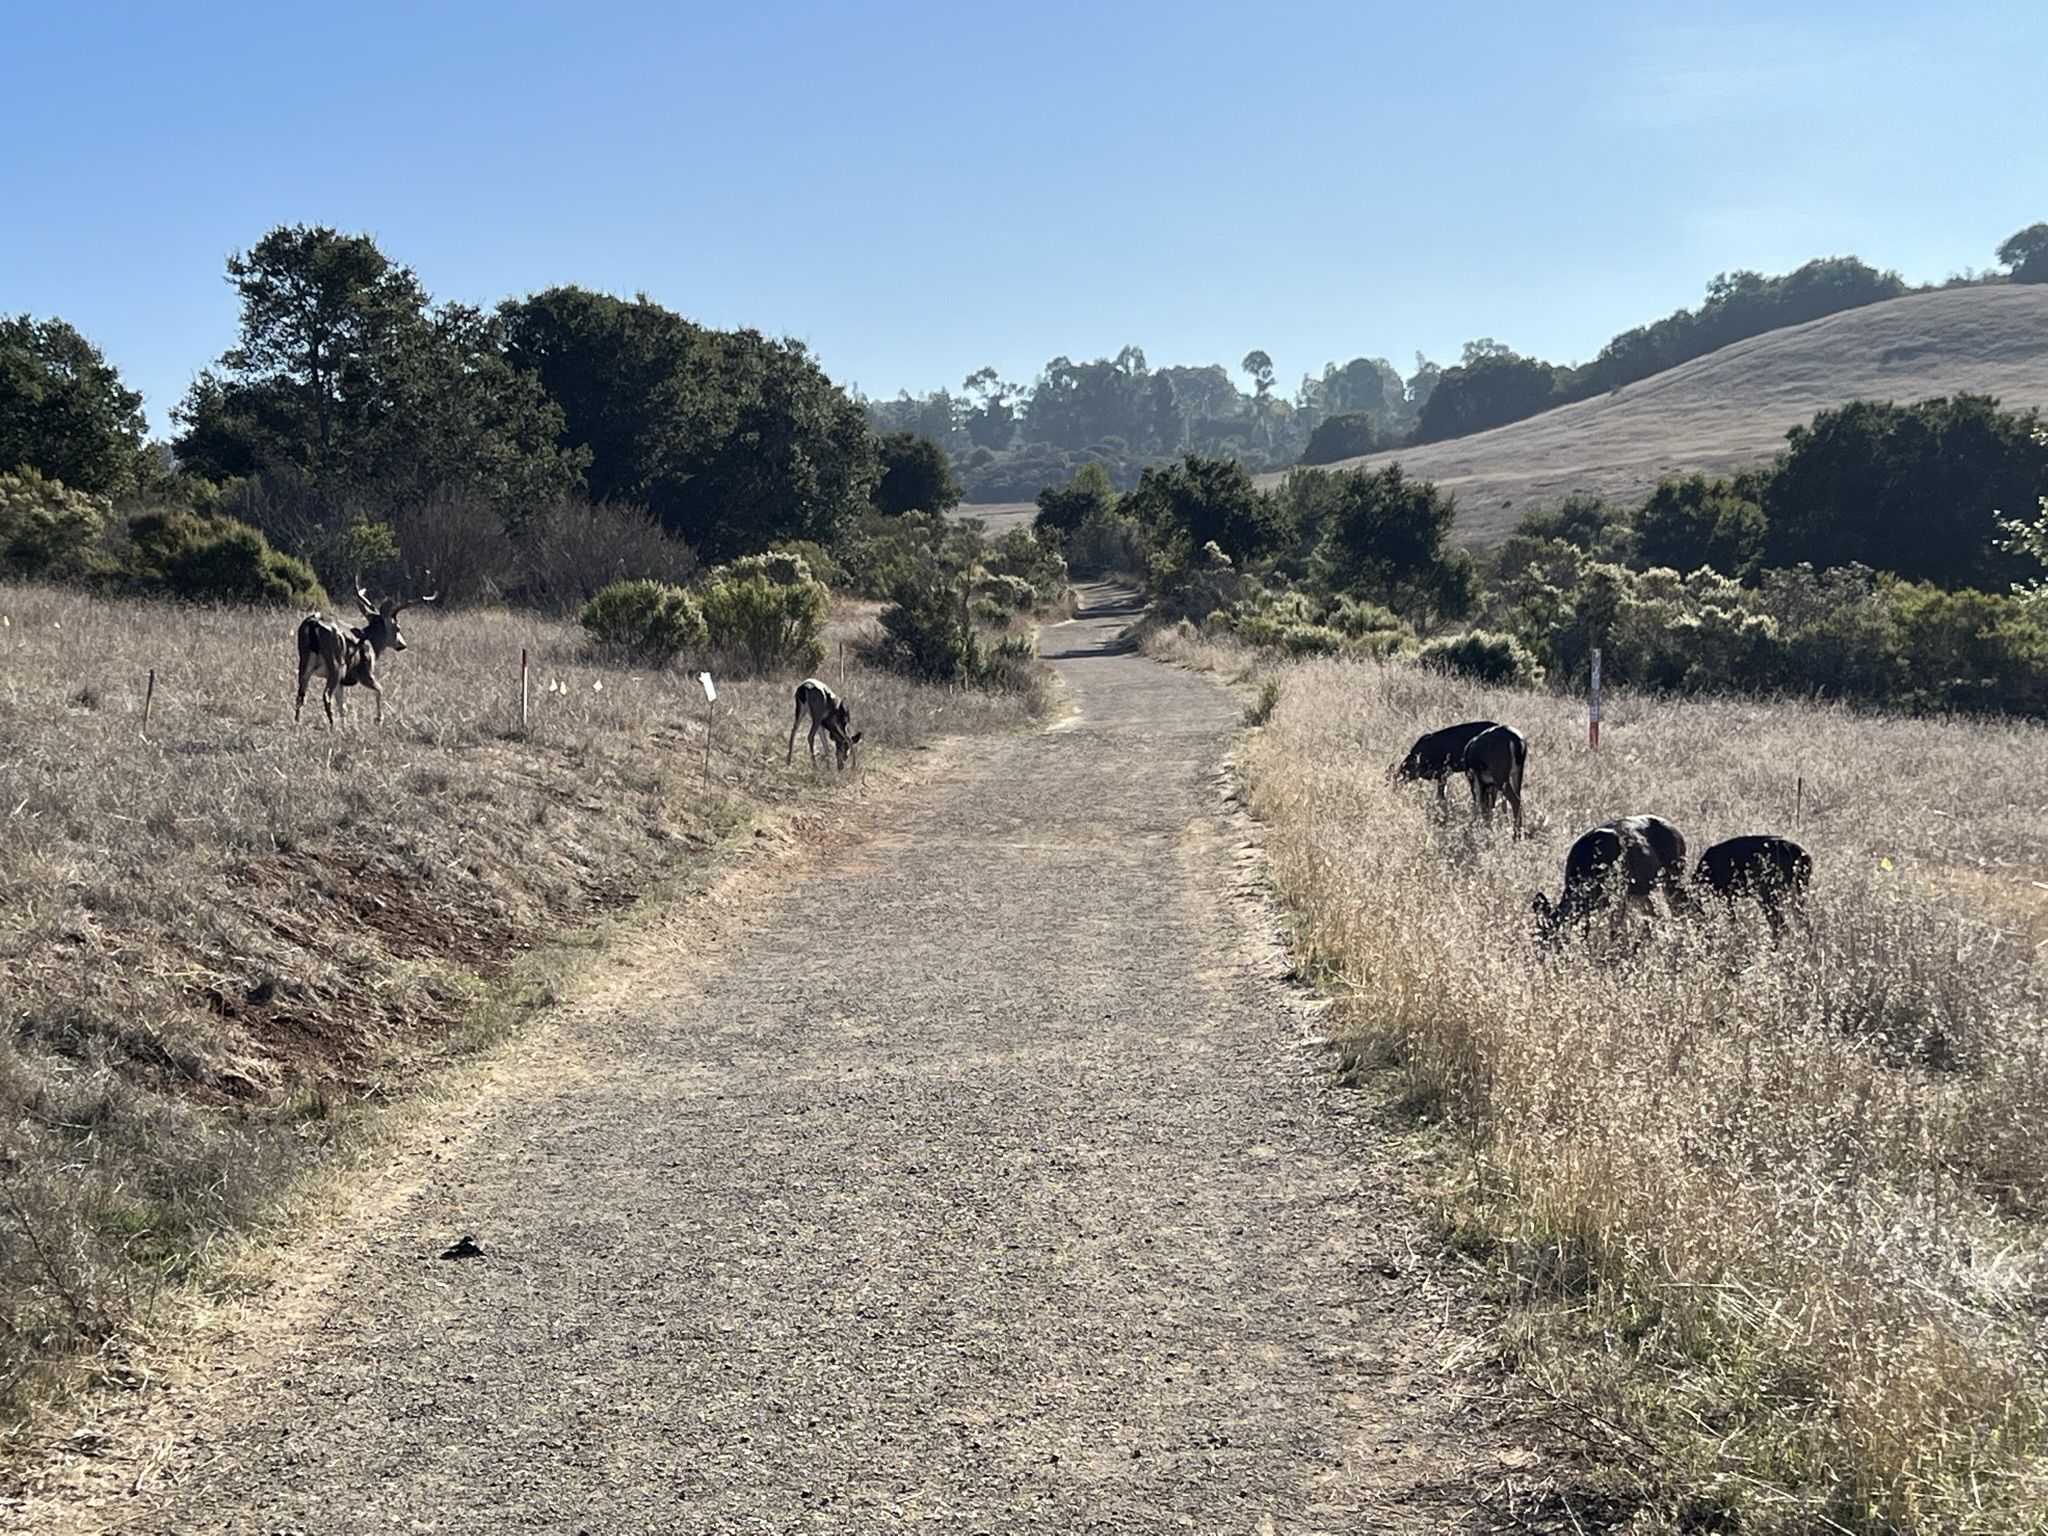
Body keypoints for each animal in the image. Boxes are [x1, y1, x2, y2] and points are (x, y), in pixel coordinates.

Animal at [294, 585, 438, 727]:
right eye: (398, 627)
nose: (403, 645)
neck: (372, 642)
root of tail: (314, 624)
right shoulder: (364, 671)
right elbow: (380, 689)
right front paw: (379, 718)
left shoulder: (343, 680)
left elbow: (342, 706)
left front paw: (344, 726)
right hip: (336, 664)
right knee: (326, 695)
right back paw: (331, 724)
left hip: (305, 661)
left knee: (300, 695)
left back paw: (298, 722)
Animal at [1532, 815, 1688, 946]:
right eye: (1540, 939)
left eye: (1553, 939)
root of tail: (1679, 834)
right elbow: (1587, 928)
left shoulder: (1618, 893)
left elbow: (1614, 929)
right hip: (1642, 890)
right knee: (1652, 913)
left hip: (1674, 875)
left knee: (1681, 906)